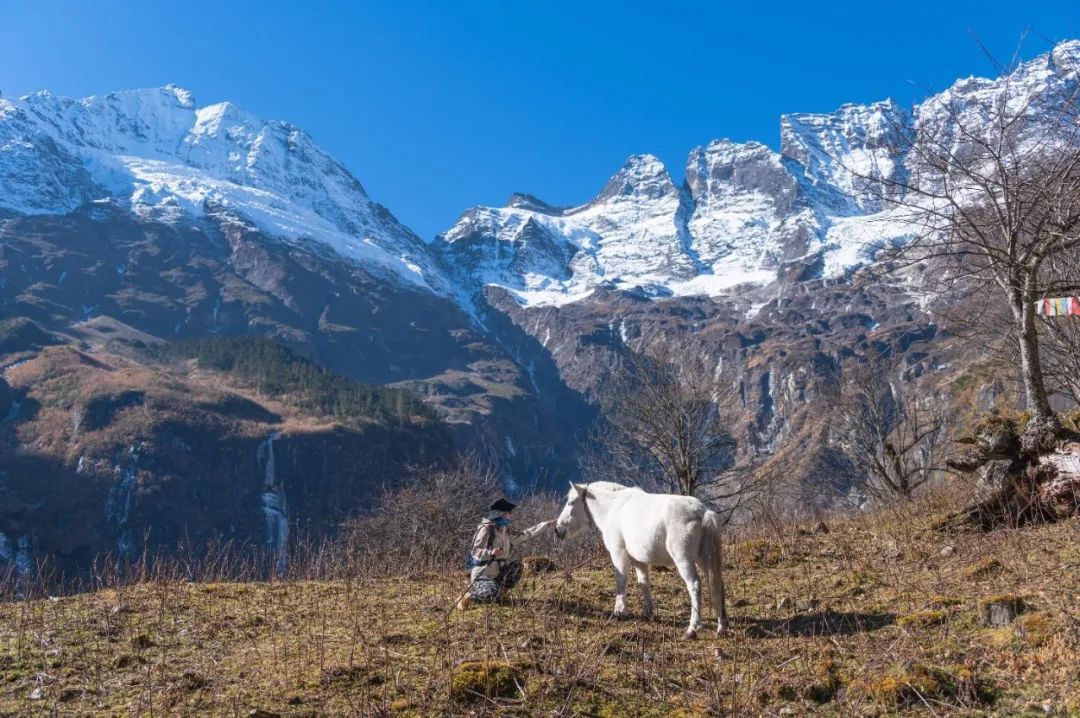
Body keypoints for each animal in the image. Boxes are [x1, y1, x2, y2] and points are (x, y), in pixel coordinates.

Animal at [557, 481, 725, 639]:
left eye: (571, 502)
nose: (558, 530)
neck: (613, 506)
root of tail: (703, 512)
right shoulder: (639, 559)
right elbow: (643, 582)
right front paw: (647, 612)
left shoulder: (619, 552)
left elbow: (621, 580)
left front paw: (620, 610)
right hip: (704, 559)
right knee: (717, 583)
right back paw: (722, 626)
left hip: (684, 560)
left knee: (694, 585)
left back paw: (692, 628)